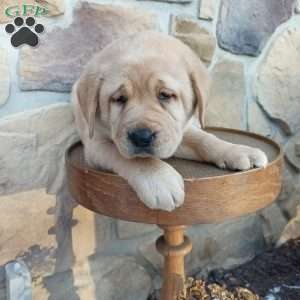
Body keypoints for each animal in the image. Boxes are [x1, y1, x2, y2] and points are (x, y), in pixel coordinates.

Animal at [72, 31, 268, 211]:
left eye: (165, 95)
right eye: (119, 99)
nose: (141, 137)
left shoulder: (178, 131)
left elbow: (204, 139)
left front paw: (237, 150)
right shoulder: (96, 144)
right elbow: (134, 158)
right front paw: (159, 181)